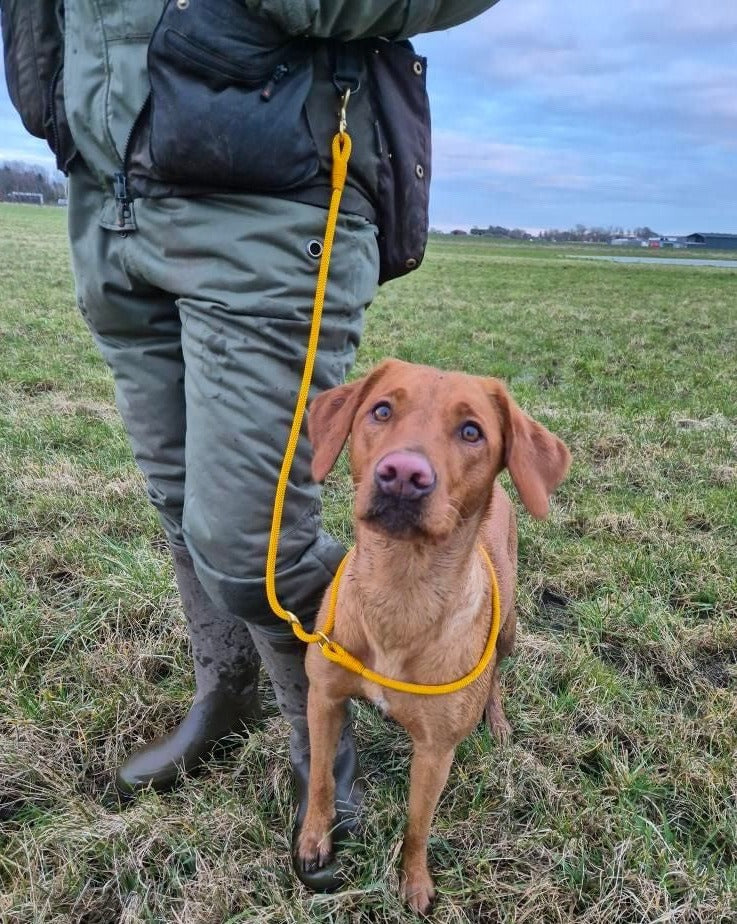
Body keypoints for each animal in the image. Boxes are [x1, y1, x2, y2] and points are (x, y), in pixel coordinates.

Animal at [294, 358, 568, 912]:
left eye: (471, 432)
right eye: (381, 410)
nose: (403, 474)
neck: (400, 593)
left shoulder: (436, 751)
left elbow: (418, 824)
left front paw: (415, 882)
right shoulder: (324, 699)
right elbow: (321, 781)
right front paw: (314, 839)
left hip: (508, 629)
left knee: (498, 672)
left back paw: (497, 721)